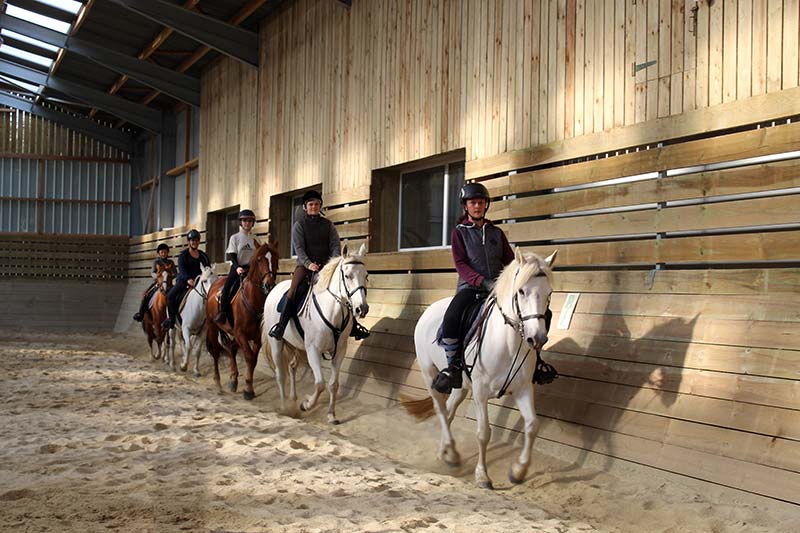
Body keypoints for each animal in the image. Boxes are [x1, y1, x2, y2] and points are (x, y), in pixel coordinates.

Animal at [205, 241, 280, 400]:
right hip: (213, 326)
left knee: (232, 348)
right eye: (259, 260)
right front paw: (248, 390)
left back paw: (233, 380)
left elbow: (253, 359)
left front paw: (248, 388)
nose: (269, 285)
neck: (253, 299)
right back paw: (218, 383)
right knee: (216, 352)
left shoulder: (256, 337)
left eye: (275, 258)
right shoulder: (241, 334)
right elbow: (249, 357)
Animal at [262, 244, 368, 424]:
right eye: (347, 276)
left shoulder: (339, 351)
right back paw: (285, 407)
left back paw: (293, 398)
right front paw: (306, 405)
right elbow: (320, 384)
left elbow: (333, 384)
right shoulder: (313, 350)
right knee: (280, 374)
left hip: (297, 345)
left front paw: (331, 415)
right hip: (277, 343)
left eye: (366, 275)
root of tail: (274, 289)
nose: (362, 309)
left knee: (292, 367)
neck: (332, 310)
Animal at [404, 247, 552, 488]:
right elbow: (484, 433)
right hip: (429, 374)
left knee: (450, 409)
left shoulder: (523, 389)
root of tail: (430, 309)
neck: (508, 344)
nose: (537, 338)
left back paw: (446, 452)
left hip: (460, 384)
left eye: (549, 293)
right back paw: (452, 454)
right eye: (521, 291)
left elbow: (532, 425)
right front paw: (482, 475)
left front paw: (518, 471)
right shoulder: (481, 391)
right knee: (440, 408)